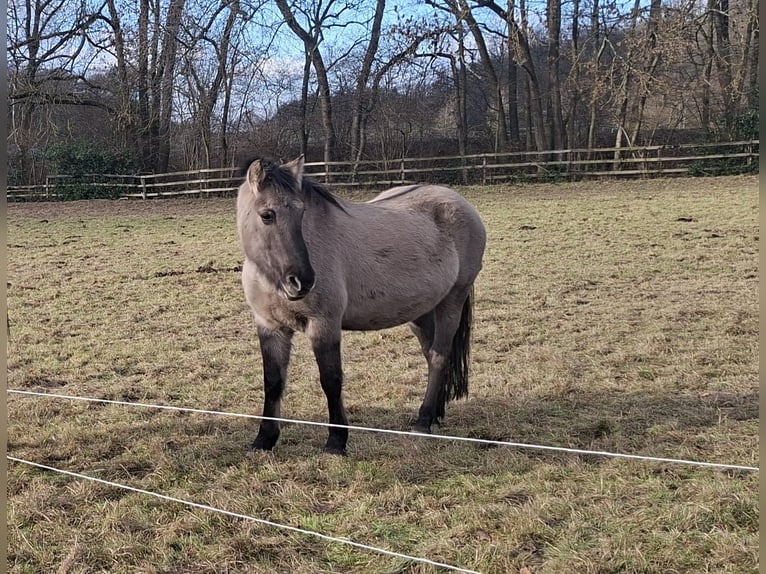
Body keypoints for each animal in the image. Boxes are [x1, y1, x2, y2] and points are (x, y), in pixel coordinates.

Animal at [236, 156, 486, 455]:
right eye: (267, 215)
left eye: (301, 212)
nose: (302, 281)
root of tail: (461, 203)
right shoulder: (270, 327)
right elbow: (273, 382)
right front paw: (263, 440)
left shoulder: (325, 325)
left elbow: (331, 380)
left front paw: (336, 441)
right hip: (422, 312)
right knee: (430, 354)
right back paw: (435, 414)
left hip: (452, 302)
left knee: (439, 357)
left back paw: (423, 421)